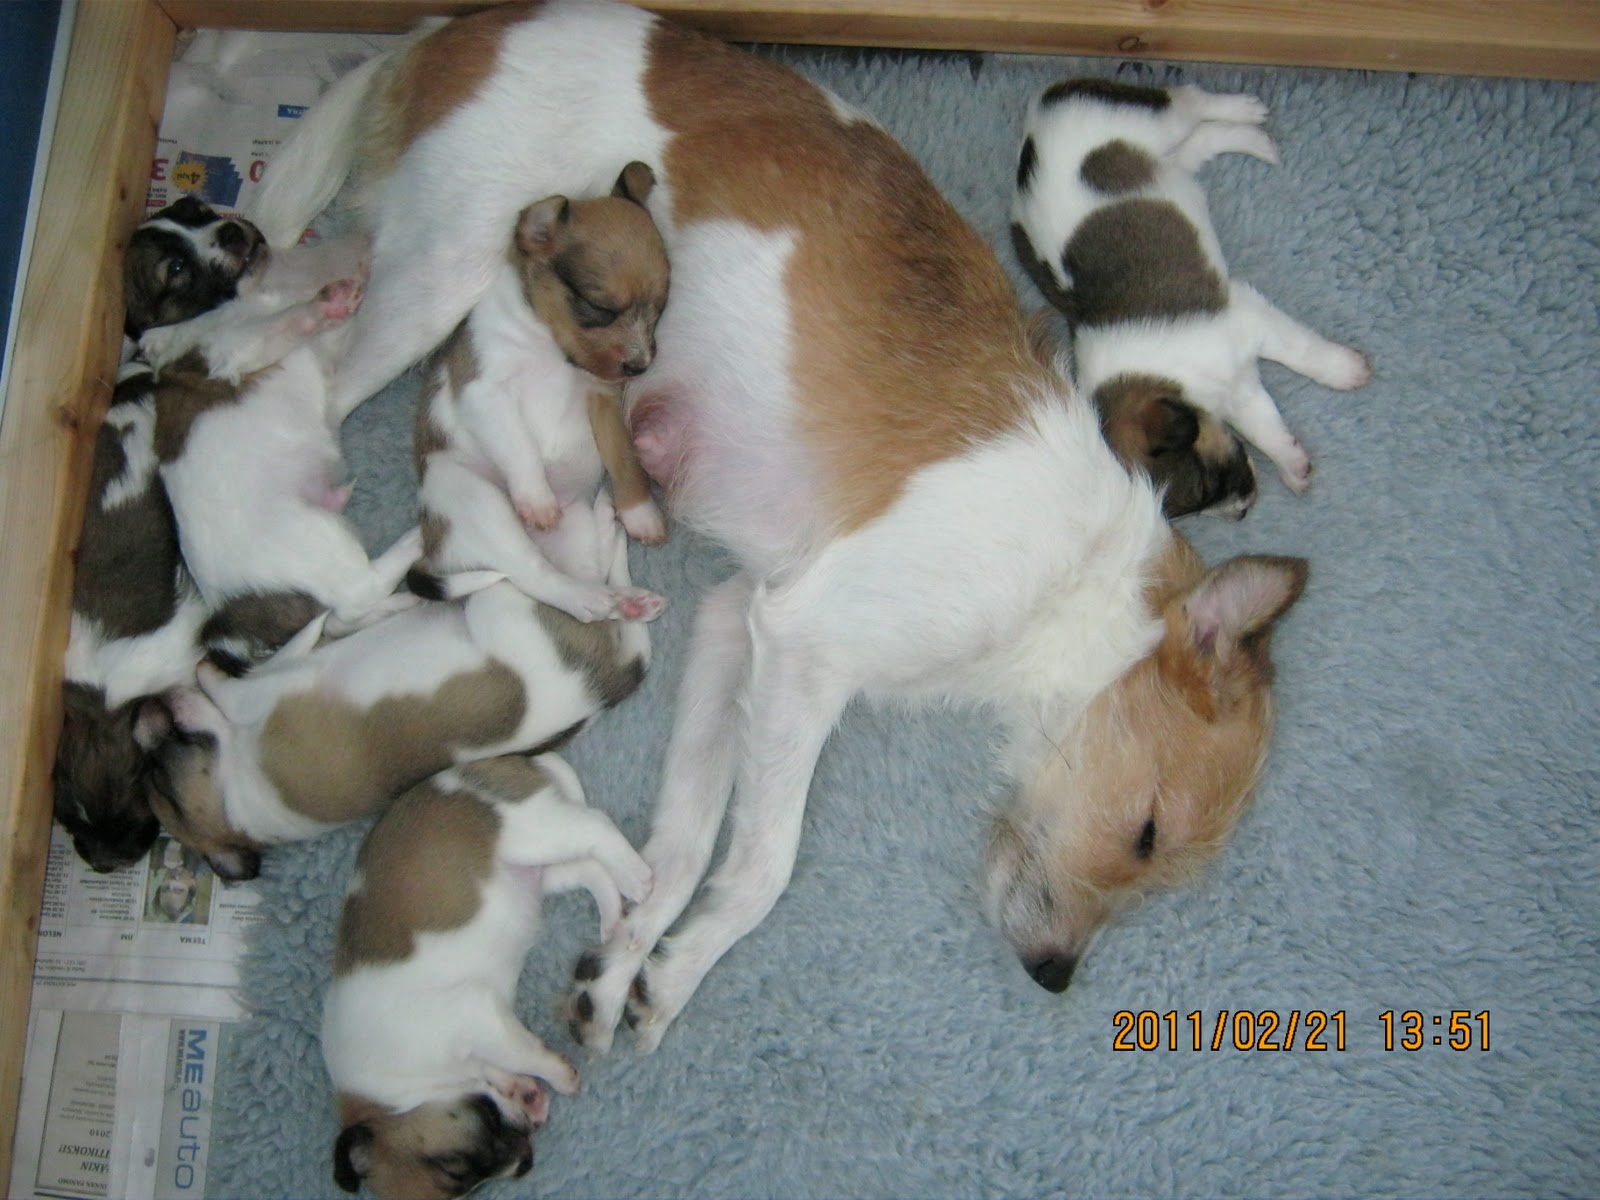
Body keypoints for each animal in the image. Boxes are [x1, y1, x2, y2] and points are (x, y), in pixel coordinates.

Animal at [140, 497, 650, 882]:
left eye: (159, 771)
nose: (152, 704)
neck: (237, 780)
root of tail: (606, 681)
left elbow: (317, 633)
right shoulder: (251, 696)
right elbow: (234, 676)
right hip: (506, 604)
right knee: (579, 575)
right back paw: (609, 538)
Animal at [324, 753, 652, 1200]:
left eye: (455, 1168)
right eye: (469, 1187)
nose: (525, 1162)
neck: (397, 1092)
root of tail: (513, 762)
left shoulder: (477, 1018)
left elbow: (527, 1053)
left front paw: (560, 1078)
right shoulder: (483, 1043)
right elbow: (504, 1067)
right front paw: (525, 1092)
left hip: (534, 832)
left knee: (594, 826)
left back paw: (635, 875)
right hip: (541, 872)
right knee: (589, 869)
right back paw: (614, 917)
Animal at [411, 163, 669, 622]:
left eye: (659, 310)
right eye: (598, 308)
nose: (640, 366)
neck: (549, 348)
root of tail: (437, 550)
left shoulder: (603, 399)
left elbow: (625, 460)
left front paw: (640, 514)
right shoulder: (485, 392)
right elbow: (520, 447)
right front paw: (537, 499)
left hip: (575, 528)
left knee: (583, 573)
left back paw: (624, 593)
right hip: (478, 501)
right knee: (534, 575)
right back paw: (589, 593)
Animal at [1011, 77, 1370, 499]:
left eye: (1210, 477)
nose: (1248, 501)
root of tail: (1038, 111)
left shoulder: (1250, 320)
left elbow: (1304, 352)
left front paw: (1348, 370)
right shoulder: (1238, 388)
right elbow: (1266, 429)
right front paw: (1293, 465)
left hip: (1156, 119)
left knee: (1189, 98)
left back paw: (1245, 111)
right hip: (1170, 161)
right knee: (1201, 142)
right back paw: (1256, 140)